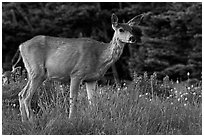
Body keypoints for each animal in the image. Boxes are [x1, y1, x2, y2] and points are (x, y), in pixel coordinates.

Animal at [13, 13, 143, 122]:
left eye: (131, 29)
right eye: (121, 29)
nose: (132, 38)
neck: (100, 57)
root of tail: (21, 46)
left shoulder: (92, 79)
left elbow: (92, 102)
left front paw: (93, 118)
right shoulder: (76, 73)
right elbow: (73, 99)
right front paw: (71, 120)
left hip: (33, 72)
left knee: (21, 94)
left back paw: (24, 121)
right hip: (37, 71)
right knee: (26, 96)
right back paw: (32, 121)